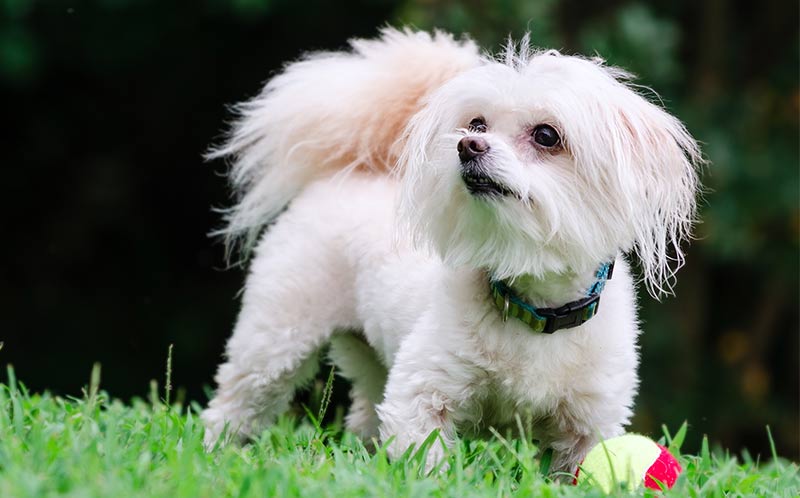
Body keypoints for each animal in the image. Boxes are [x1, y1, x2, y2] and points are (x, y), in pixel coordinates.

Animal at [202, 29, 700, 472]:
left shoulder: (590, 422)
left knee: (364, 412)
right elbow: (428, 461)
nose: (468, 145)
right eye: (477, 124)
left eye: (546, 135)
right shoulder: (420, 392)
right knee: (235, 402)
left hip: (370, 358)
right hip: (275, 336)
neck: (530, 307)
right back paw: (215, 452)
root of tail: (354, 170)